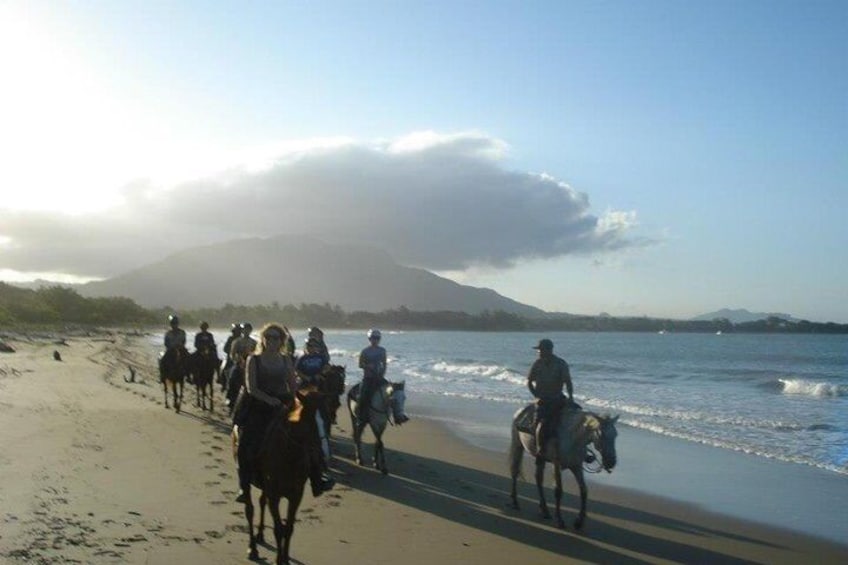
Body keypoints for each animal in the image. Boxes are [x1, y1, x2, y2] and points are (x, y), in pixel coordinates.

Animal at [232, 390, 322, 560]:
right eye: (307, 421)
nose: (317, 451)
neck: (289, 456)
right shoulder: (274, 495)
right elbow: (279, 528)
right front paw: (279, 560)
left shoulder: (296, 495)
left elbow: (289, 528)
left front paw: (285, 558)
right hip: (246, 478)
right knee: (249, 510)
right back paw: (252, 548)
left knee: (261, 502)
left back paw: (260, 535)